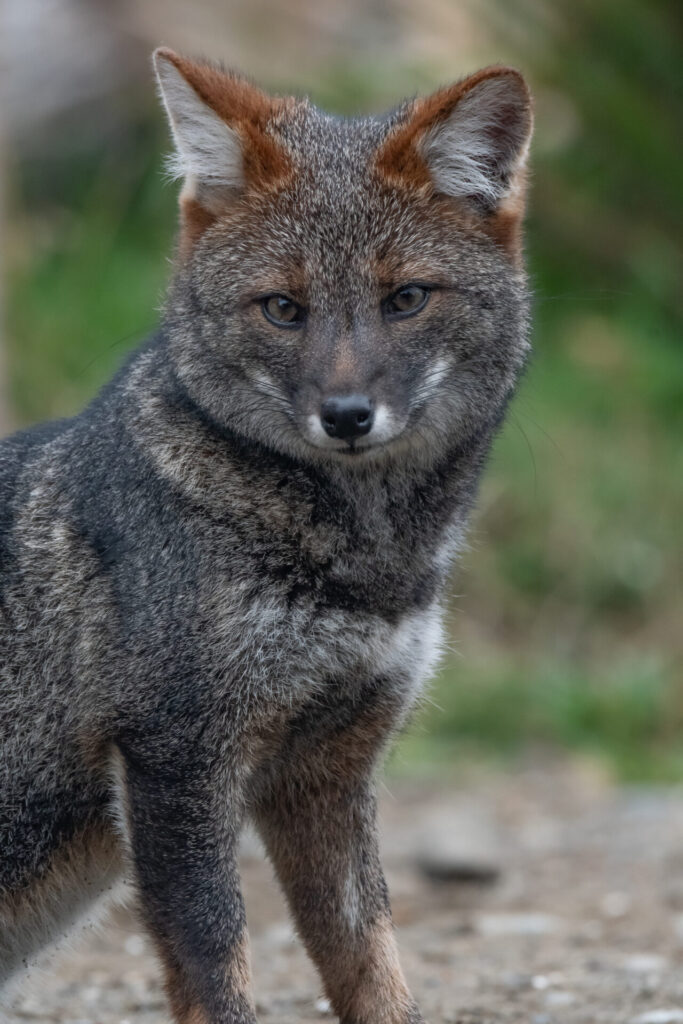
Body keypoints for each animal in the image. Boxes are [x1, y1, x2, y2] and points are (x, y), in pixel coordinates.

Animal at [0, 48, 533, 1023]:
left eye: (405, 299)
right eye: (283, 309)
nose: (347, 415)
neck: (366, 567)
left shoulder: (326, 769)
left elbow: (370, 955)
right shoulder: (176, 757)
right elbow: (216, 960)